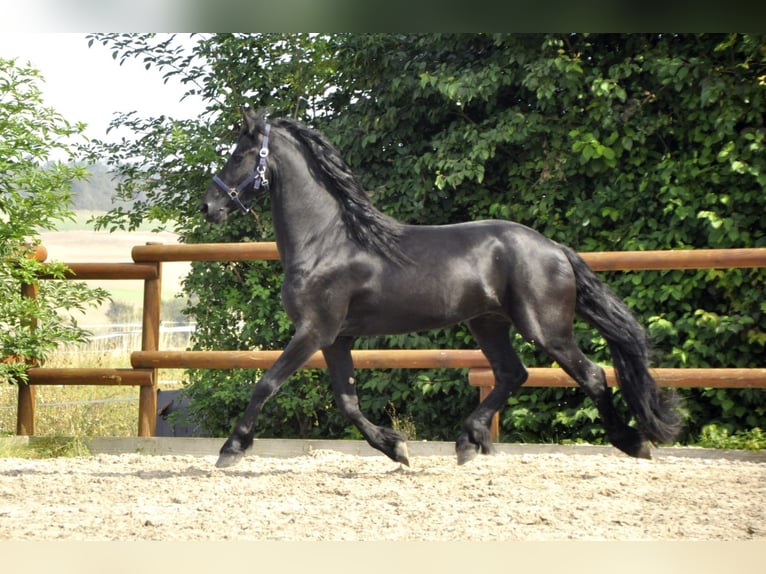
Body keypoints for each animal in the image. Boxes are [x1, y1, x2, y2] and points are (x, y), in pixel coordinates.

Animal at [201, 110, 680, 470]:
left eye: (240, 154)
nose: (209, 206)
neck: (326, 240)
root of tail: (555, 248)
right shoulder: (337, 338)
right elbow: (347, 401)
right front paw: (396, 448)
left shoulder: (314, 331)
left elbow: (266, 384)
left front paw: (230, 449)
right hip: (488, 323)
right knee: (513, 374)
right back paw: (468, 442)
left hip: (546, 329)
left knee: (592, 374)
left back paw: (633, 443)